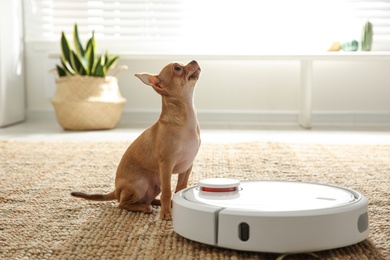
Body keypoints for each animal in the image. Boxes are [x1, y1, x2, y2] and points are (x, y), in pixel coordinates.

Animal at [71, 60, 201, 219]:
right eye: (177, 68)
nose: (194, 61)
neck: (187, 117)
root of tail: (116, 190)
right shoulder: (166, 165)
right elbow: (167, 191)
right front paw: (166, 214)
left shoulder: (187, 166)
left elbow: (180, 188)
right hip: (140, 184)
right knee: (122, 204)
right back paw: (145, 208)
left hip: (155, 185)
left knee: (146, 199)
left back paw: (155, 204)